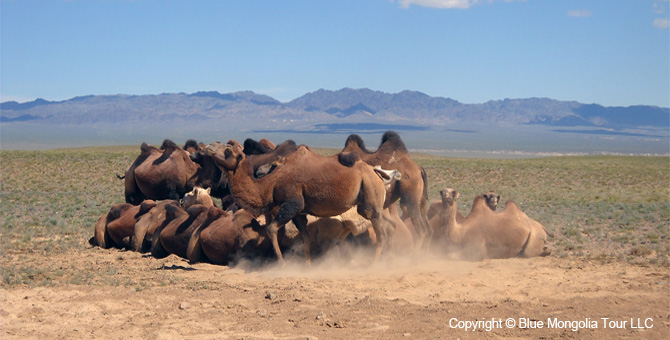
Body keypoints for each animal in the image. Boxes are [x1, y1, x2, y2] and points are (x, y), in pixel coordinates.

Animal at [205, 139, 394, 264]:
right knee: (385, 225)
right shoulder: (299, 213)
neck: (271, 183)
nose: (208, 146)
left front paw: (281, 263)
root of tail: (377, 172)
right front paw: (307, 265)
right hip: (368, 201)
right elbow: (305, 238)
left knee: (381, 233)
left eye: (228, 150)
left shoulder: (292, 203)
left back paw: (375, 264)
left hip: (370, 192)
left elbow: (271, 229)